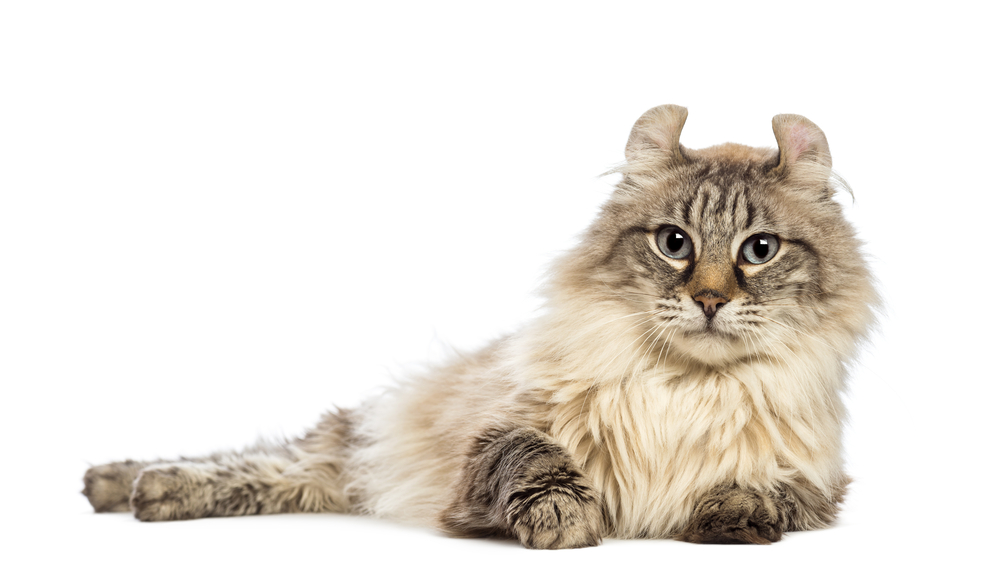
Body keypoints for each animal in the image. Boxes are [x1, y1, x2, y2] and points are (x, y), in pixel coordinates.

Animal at [82, 106, 876, 548]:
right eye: (674, 243)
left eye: (759, 250)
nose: (710, 300)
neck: (684, 388)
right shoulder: (494, 437)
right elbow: (531, 457)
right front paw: (563, 517)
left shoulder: (821, 481)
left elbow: (767, 490)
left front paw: (732, 514)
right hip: (360, 436)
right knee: (268, 460)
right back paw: (134, 484)